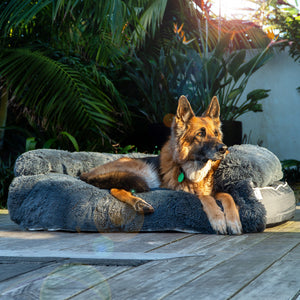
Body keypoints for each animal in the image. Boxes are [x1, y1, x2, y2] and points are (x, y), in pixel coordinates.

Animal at [81, 96, 243, 234]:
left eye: (216, 133)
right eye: (200, 134)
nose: (224, 148)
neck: (195, 169)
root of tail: (86, 173)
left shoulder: (214, 191)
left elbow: (228, 196)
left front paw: (234, 221)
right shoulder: (185, 191)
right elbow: (205, 198)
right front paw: (218, 219)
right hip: (142, 170)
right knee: (115, 188)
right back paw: (140, 204)